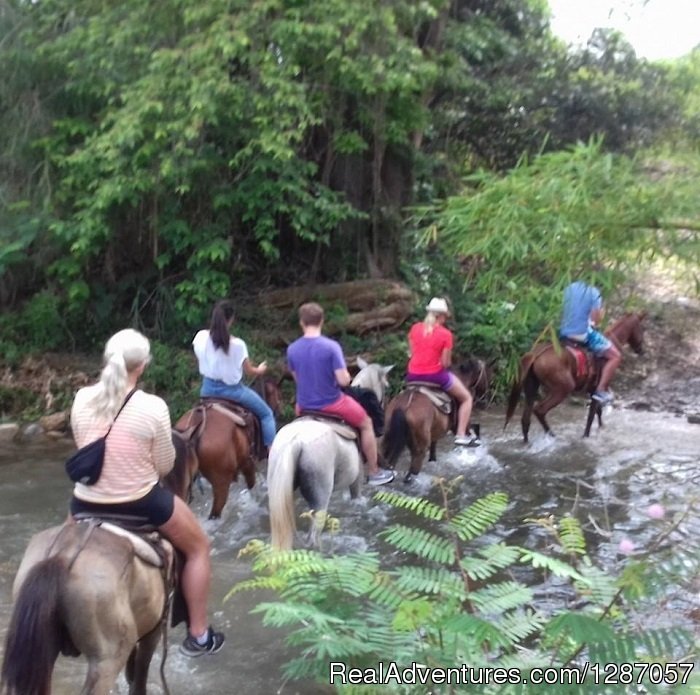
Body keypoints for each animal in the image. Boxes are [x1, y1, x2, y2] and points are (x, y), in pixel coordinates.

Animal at [175, 378, 282, 520]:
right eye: (278, 394)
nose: (280, 410)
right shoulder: (247, 464)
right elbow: (252, 487)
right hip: (221, 483)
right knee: (215, 513)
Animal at [266, 358, 392, 548]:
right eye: (385, 385)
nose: (381, 426)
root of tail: (295, 441)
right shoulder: (357, 480)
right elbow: (357, 498)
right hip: (321, 497)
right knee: (313, 536)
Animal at [504, 312, 644, 444]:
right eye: (641, 329)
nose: (641, 350)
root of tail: (535, 354)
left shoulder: (593, 390)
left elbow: (598, 412)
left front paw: (601, 428)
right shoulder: (597, 389)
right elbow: (591, 416)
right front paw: (586, 436)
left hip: (531, 387)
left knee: (525, 419)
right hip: (562, 389)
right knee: (540, 410)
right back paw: (552, 436)